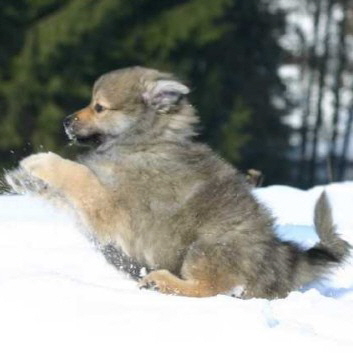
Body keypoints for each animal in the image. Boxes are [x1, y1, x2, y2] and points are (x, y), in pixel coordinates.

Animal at [5, 65, 350, 296]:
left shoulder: (111, 207)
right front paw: (25, 181)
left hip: (207, 248)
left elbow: (77, 175)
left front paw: (39, 162)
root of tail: (282, 259)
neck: (143, 141)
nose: (65, 121)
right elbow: (65, 192)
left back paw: (160, 281)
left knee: (207, 288)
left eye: (99, 107)